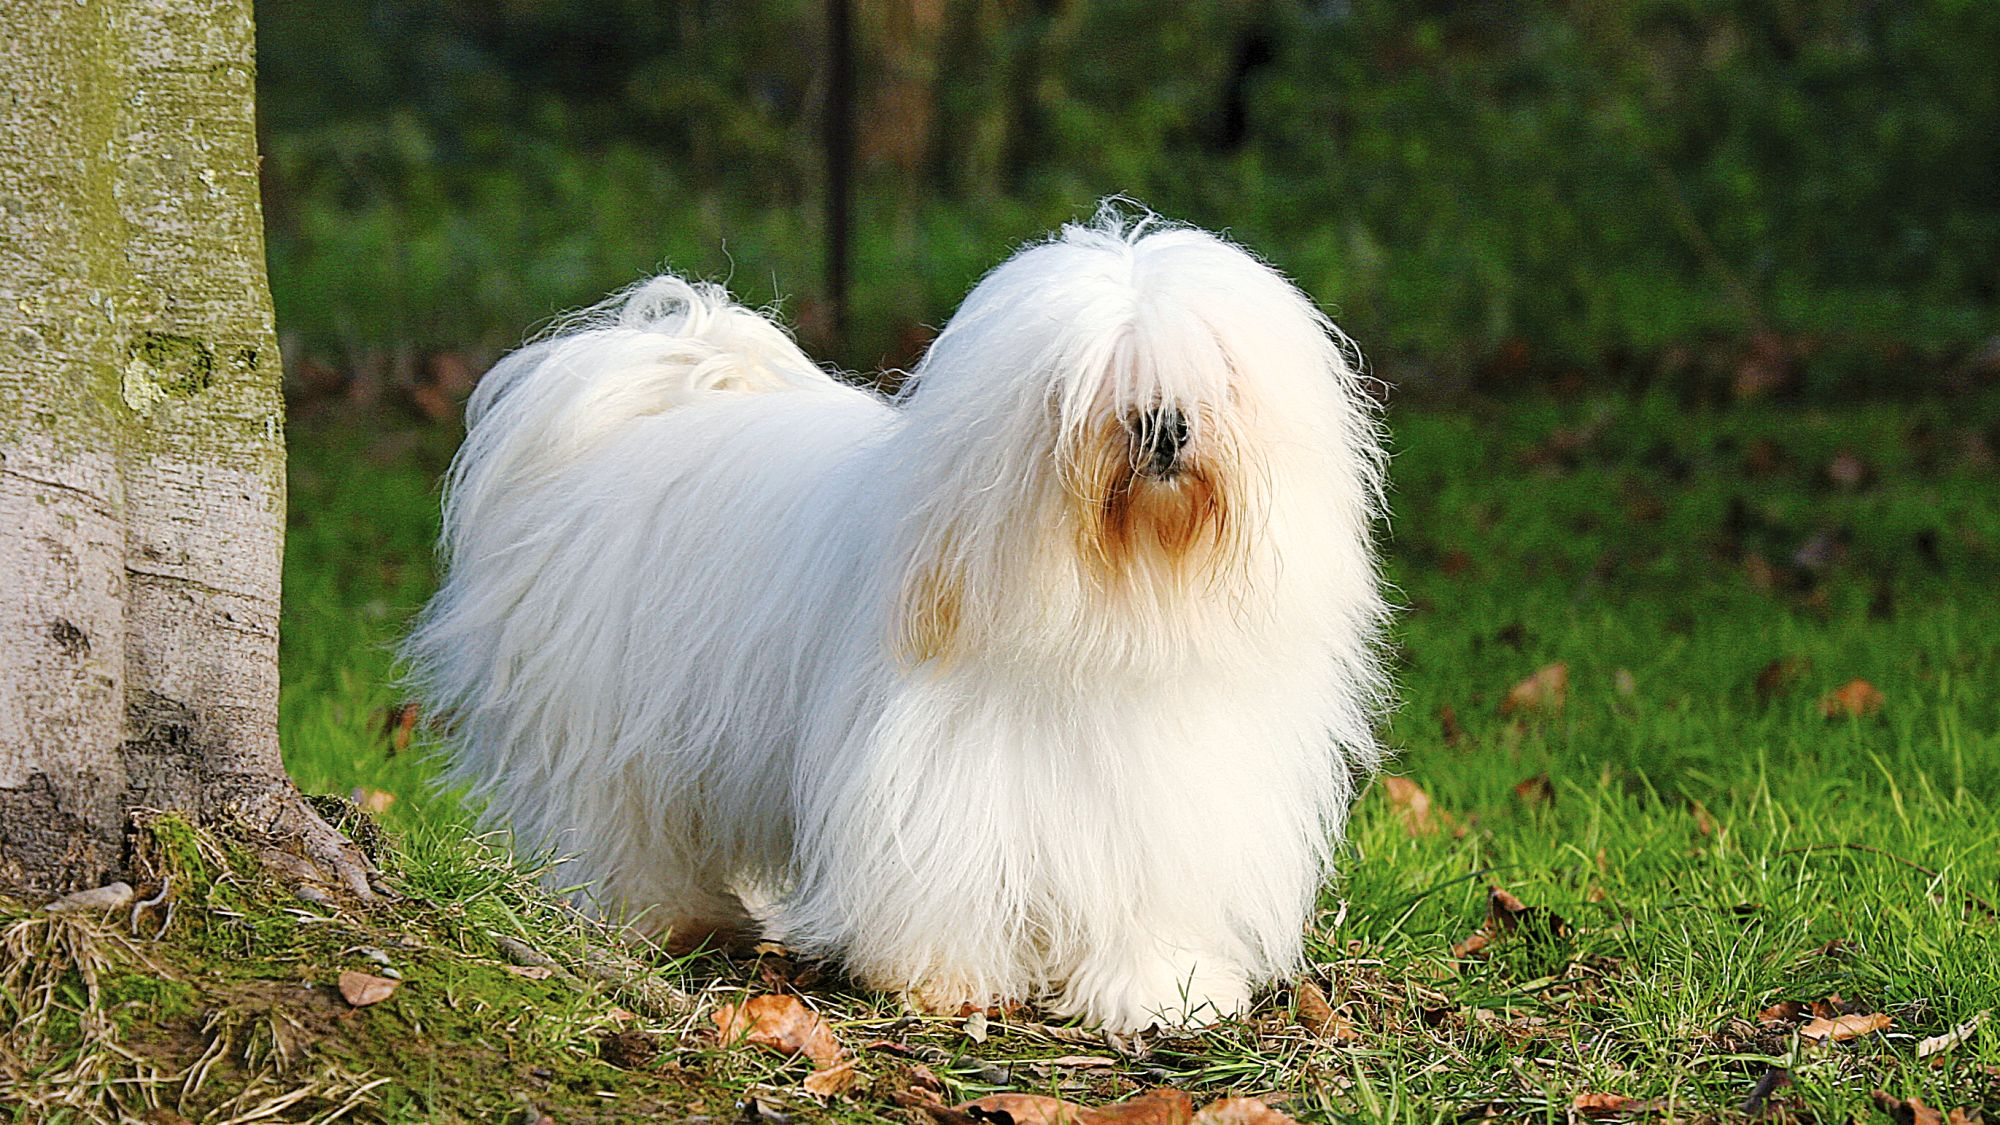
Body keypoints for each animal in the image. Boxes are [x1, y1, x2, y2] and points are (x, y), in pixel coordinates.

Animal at [406, 210, 1392, 1024]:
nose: (1162, 424)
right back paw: (660, 918)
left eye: (1217, 371)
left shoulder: (1181, 779)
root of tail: (653, 386)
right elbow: (948, 872)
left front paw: (1159, 988)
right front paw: (943, 978)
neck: (1124, 607)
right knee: (615, 823)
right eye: (1084, 381)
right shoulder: (942, 770)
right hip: (602, 725)